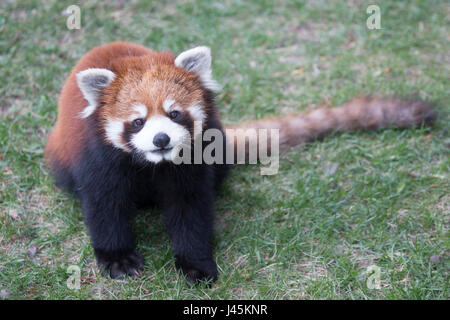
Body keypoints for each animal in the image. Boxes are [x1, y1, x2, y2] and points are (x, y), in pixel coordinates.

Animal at [44, 40, 434, 282]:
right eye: (138, 122)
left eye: (174, 114)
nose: (161, 140)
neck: (153, 166)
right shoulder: (100, 161)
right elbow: (104, 208)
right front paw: (119, 259)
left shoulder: (193, 165)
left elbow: (191, 212)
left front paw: (196, 265)